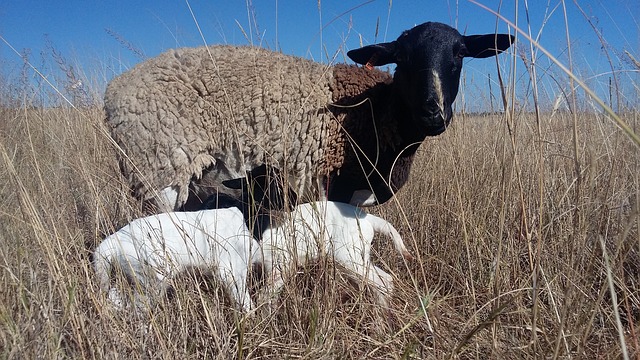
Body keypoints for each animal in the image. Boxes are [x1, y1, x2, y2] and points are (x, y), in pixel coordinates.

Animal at [91, 165, 288, 310]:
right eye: (278, 183)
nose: (291, 202)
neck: (246, 214)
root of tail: (110, 244)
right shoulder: (231, 271)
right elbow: (245, 302)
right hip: (152, 278)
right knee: (135, 308)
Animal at [105, 20, 516, 211]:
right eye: (402, 57)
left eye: (459, 54)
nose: (434, 114)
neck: (379, 110)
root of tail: (112, 94)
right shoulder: (334, 186)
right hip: (157, 168)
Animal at [255, 200, 416, 306]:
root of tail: (367, 217)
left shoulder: (280, 267)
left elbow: (264, 298)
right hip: (358, 259)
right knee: (385, 280)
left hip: (347, 259)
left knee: (382, 283)